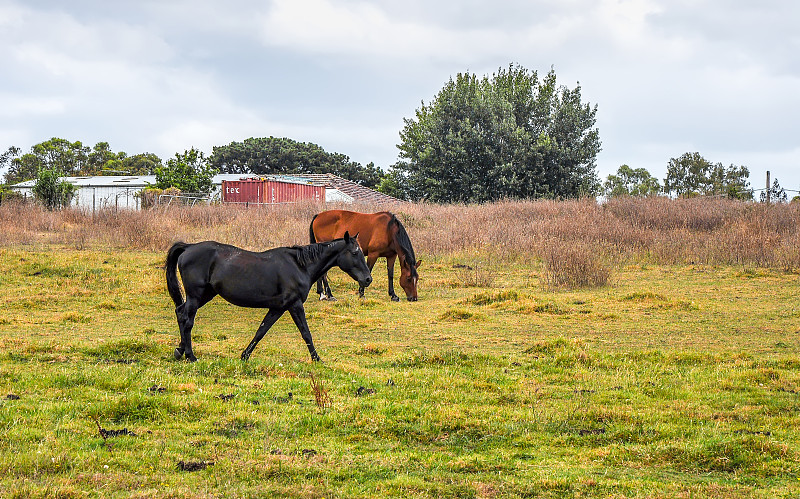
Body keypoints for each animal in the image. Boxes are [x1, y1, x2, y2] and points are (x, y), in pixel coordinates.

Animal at [167, 234, 374, 364]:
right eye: (355, 253)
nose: (367, 279)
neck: (300, 266)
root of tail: (189, 247)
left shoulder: (278, 308)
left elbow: (261, 331)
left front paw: (245, 355)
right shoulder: (295, 305)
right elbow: (305, 333)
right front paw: (317, 359)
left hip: (206, 295)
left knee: (180, 312)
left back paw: (180, 350)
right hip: (196, 296)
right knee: (187, 320)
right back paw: (190, 355)